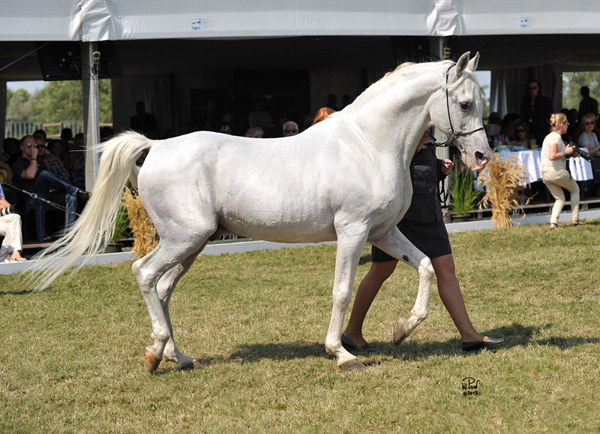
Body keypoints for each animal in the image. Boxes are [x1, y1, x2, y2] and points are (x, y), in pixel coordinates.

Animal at [29, 50, 488, 370]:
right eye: (465, 103)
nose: (481, 156)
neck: (367, 143)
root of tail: (155, 147)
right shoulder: (353, 232)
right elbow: (342, 291)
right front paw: (342, 353)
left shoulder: (383, 232)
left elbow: (427, 265)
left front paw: (401, 329)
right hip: (184, 238)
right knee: (143, 274)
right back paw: (155, 353)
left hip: (192, 244)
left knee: (162, 288)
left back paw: (177, 357)